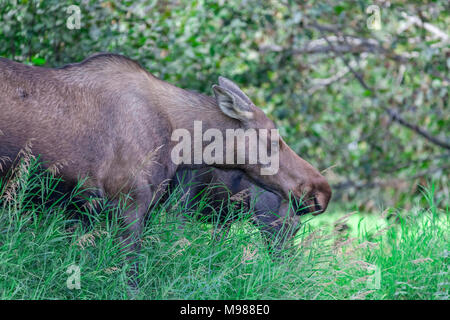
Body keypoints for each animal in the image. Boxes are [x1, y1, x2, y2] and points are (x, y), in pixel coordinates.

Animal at [0, 53, 330, 286]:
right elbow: (130, 277)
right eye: (274, 139)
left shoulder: (85, 209)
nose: (321, 191)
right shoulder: (129, 203)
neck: (179, 143)